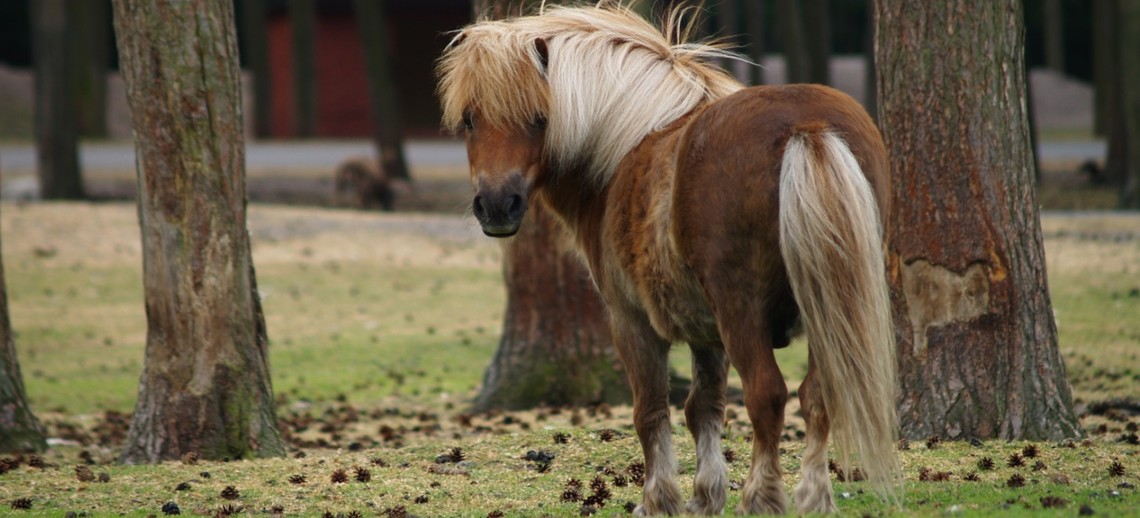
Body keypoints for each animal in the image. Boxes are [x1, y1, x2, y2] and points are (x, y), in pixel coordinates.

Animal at [435, 4, 898, 513]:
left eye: (540, 118)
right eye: (471, 120)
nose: (498, 206)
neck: (623, 151)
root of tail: (806, 126)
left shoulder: (631, 322)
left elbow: (650, 410)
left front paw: (657, 500)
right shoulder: (707, 335)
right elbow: (704, 407)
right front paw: (705, 497)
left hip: (743, 312)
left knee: (767, 395)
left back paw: (761, 498)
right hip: (823, 308)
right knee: (816, 394)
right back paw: (814, 497)